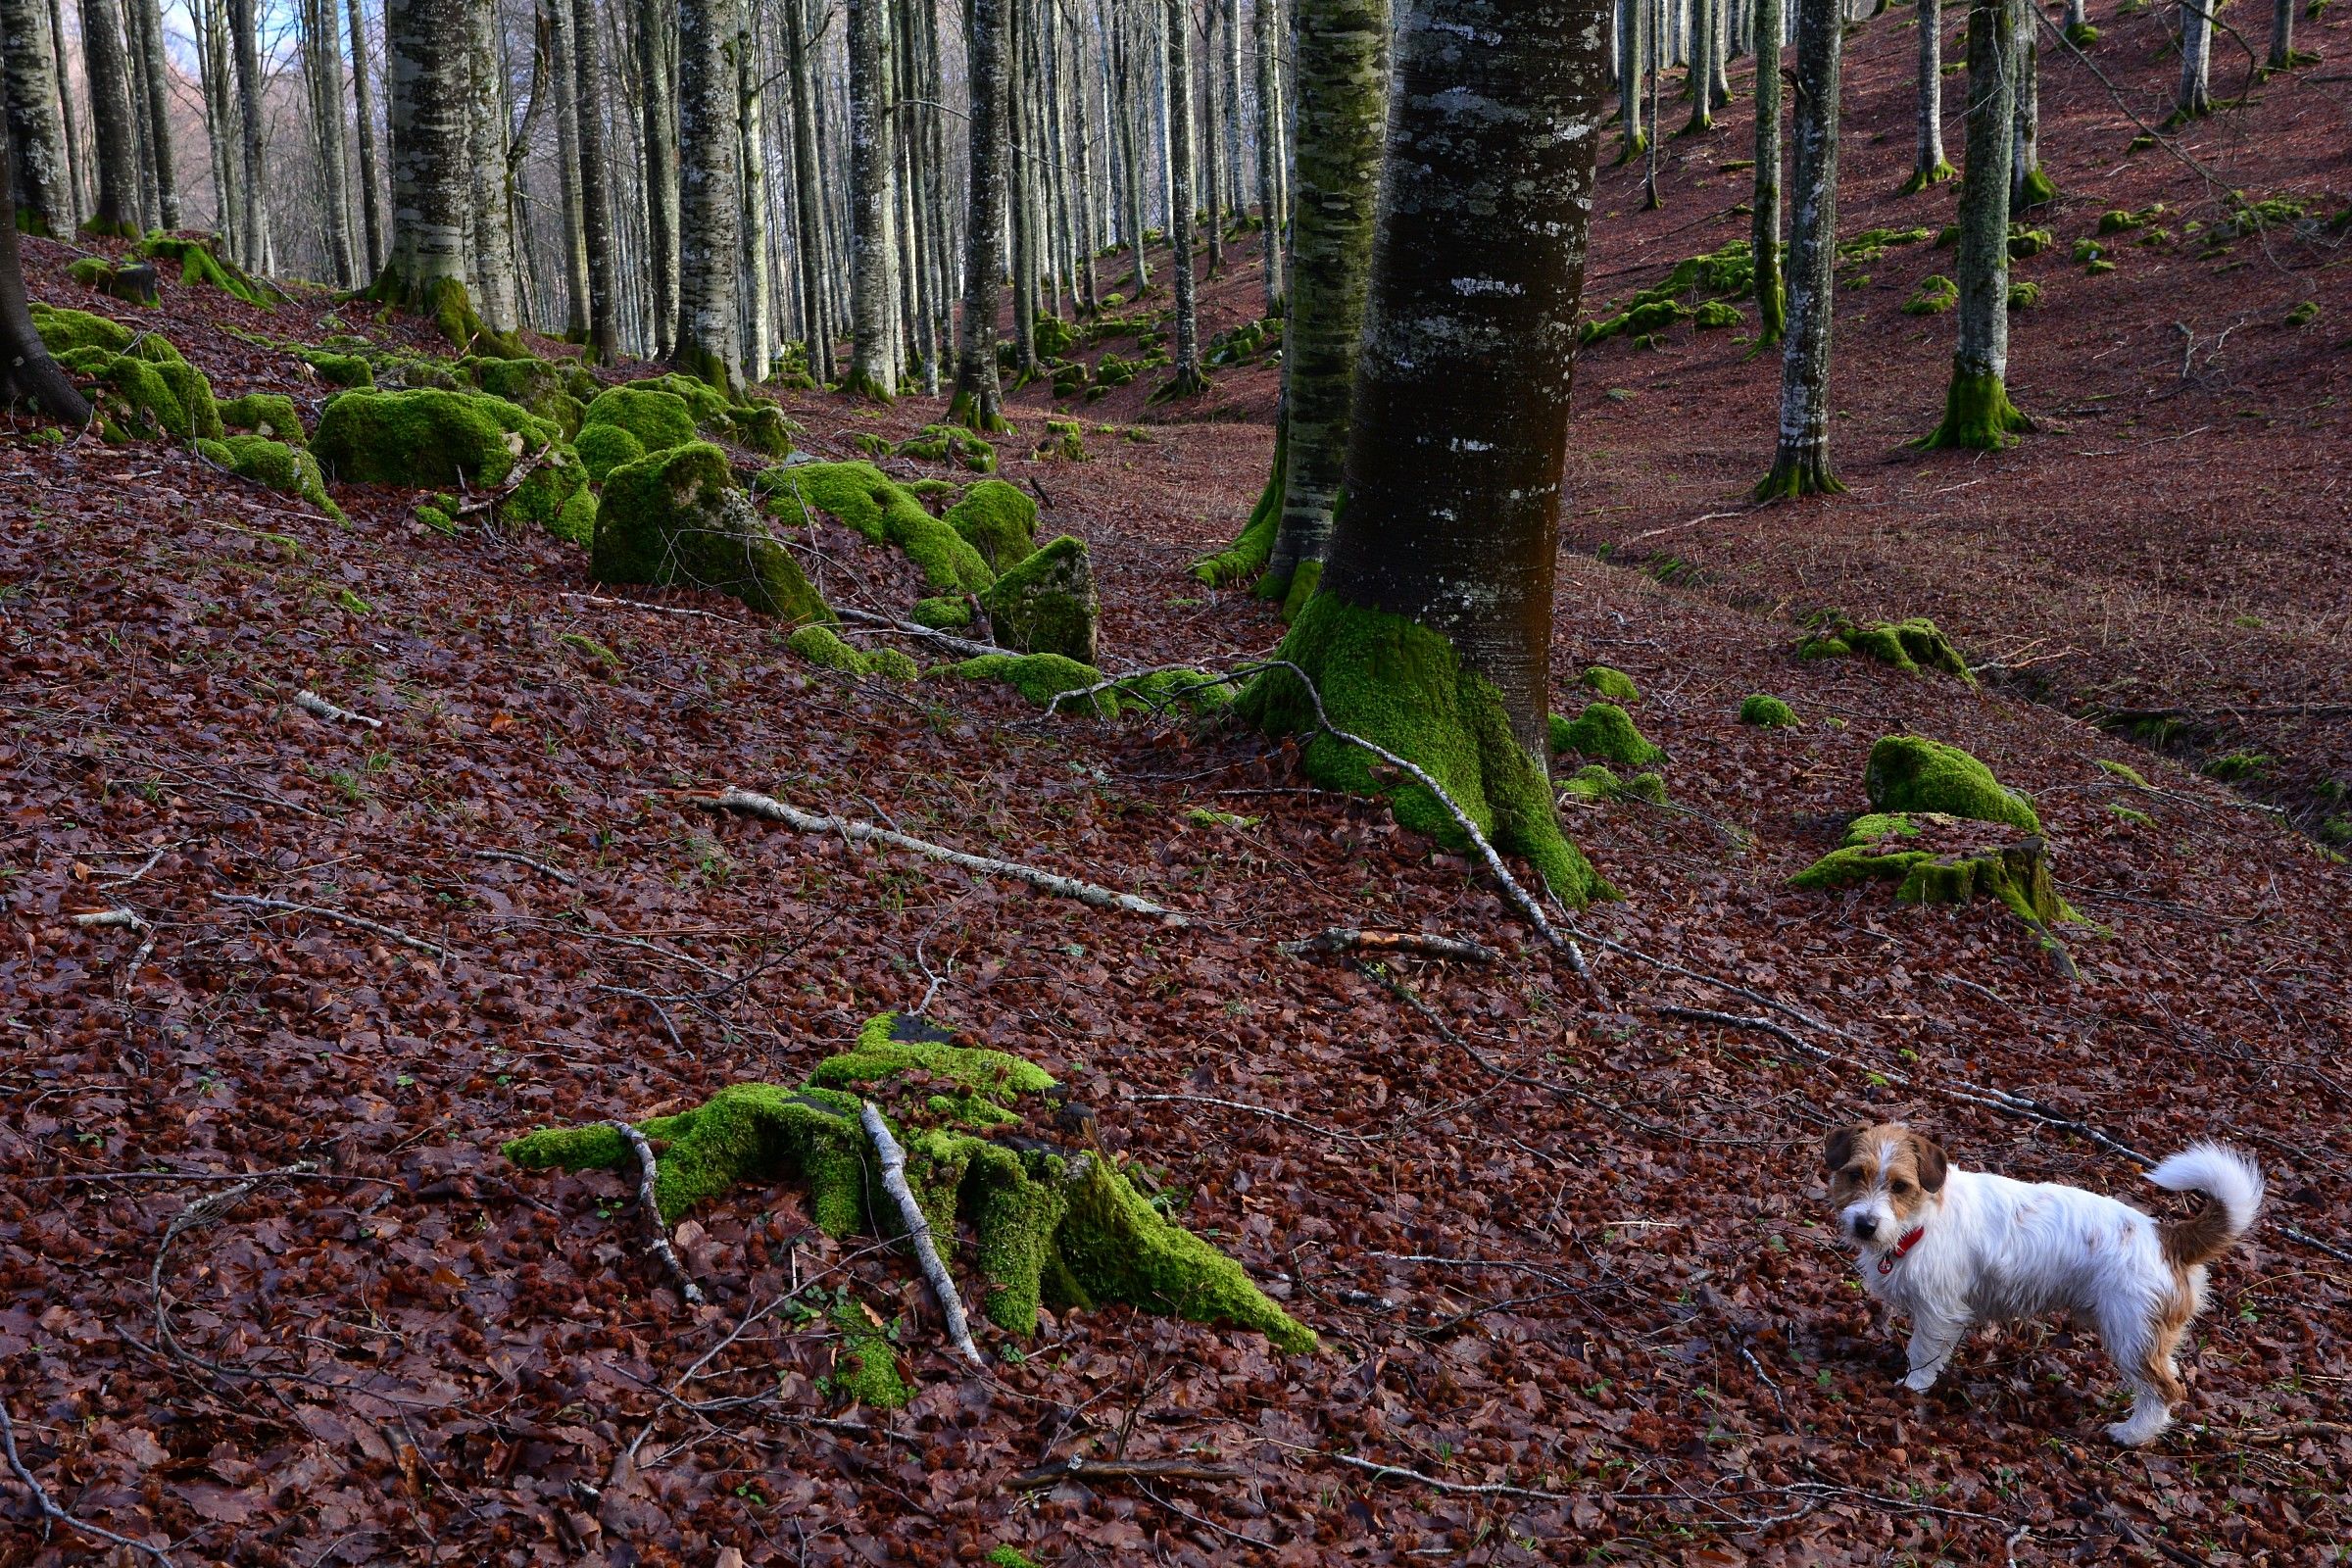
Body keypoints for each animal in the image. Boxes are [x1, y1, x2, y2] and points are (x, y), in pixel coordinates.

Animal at [1815, 1123, 2258, 1439]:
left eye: (1900, 1186)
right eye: (1854, 1175)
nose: (1865, 1225)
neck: (1921, 1220)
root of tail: (2165, 1236)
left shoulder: (1940, 1313)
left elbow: (1924, 1354)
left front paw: (1912, 1386)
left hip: (2132, 1334)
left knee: (2165, 1391)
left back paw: (2129, 1434)